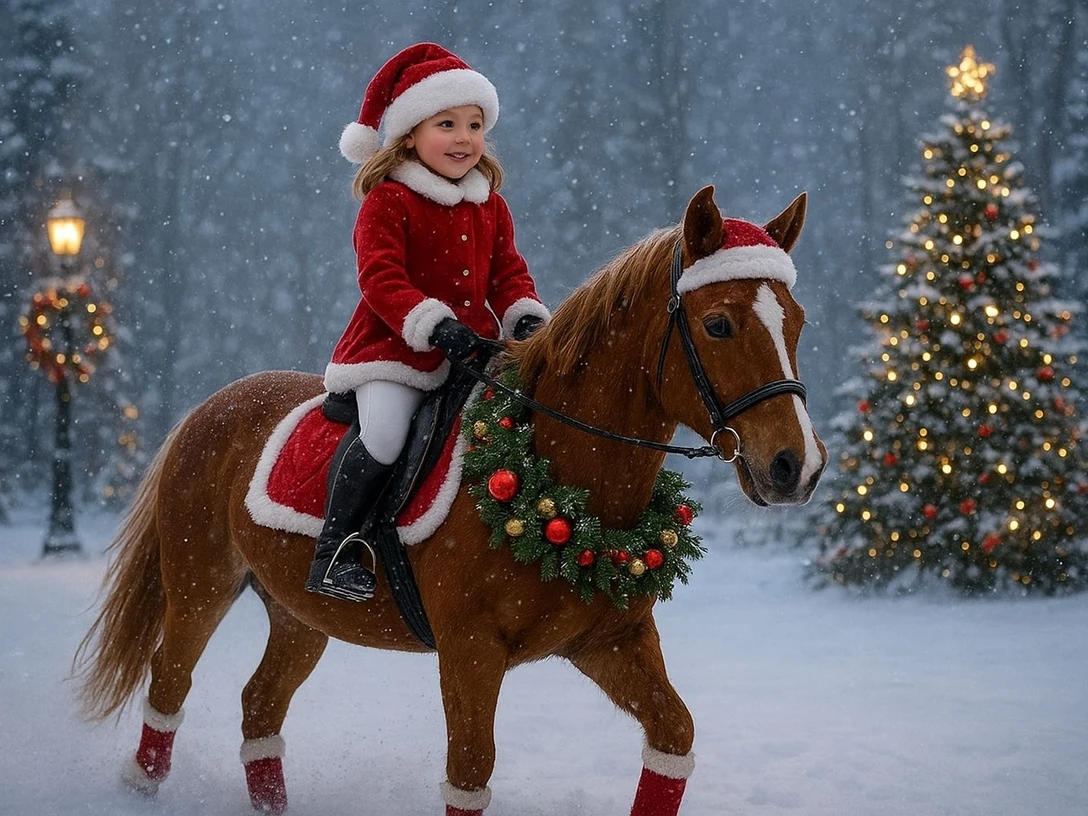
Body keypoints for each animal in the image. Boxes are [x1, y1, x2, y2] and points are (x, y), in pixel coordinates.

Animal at [73, 186, 826, 816]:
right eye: (719, 325)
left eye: (796, 322)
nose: (796, 466)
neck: (562, 488)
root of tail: (212, 405)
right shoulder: (469, 650)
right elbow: (469, 771)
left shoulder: (612, 641)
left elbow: (674, 733)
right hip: (201, 584)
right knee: (169, 681)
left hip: (298, 613)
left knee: (260, 705)